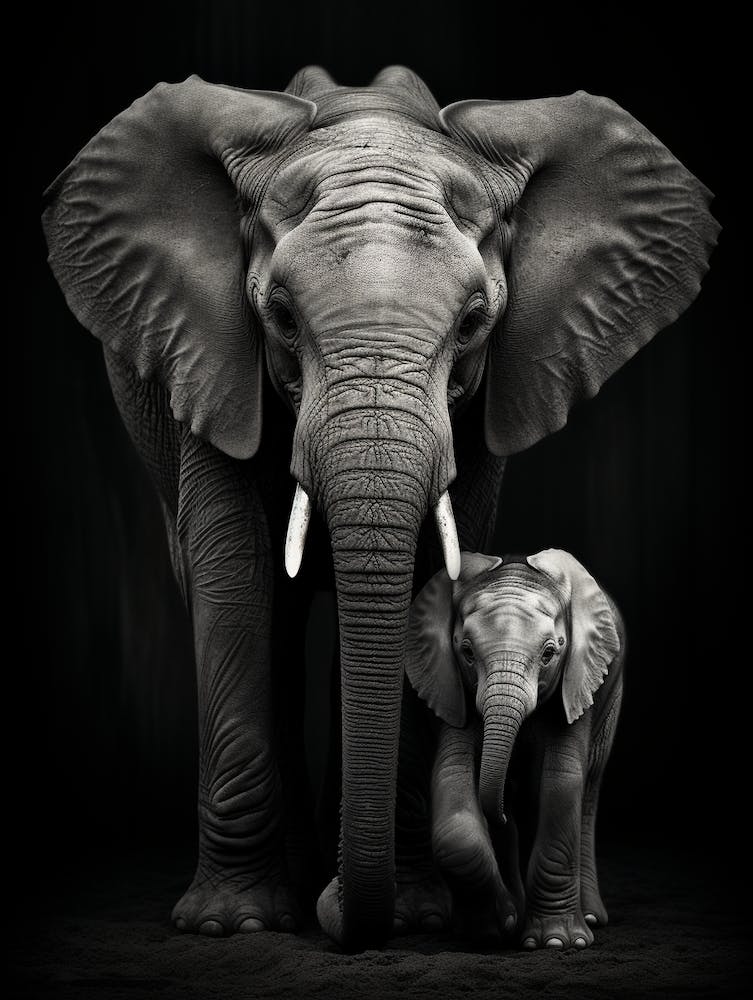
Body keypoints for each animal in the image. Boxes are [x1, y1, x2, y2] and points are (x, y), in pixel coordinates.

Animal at [406, 549, 626, 949]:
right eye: (466, 652)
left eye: (550, 653)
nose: (502, 814)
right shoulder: (450, 686)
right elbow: (453, 779)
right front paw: (496, 925)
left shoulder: (577, 679)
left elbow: (562, 781)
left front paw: (556, 943)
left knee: (588, 789)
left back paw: (589, 917)